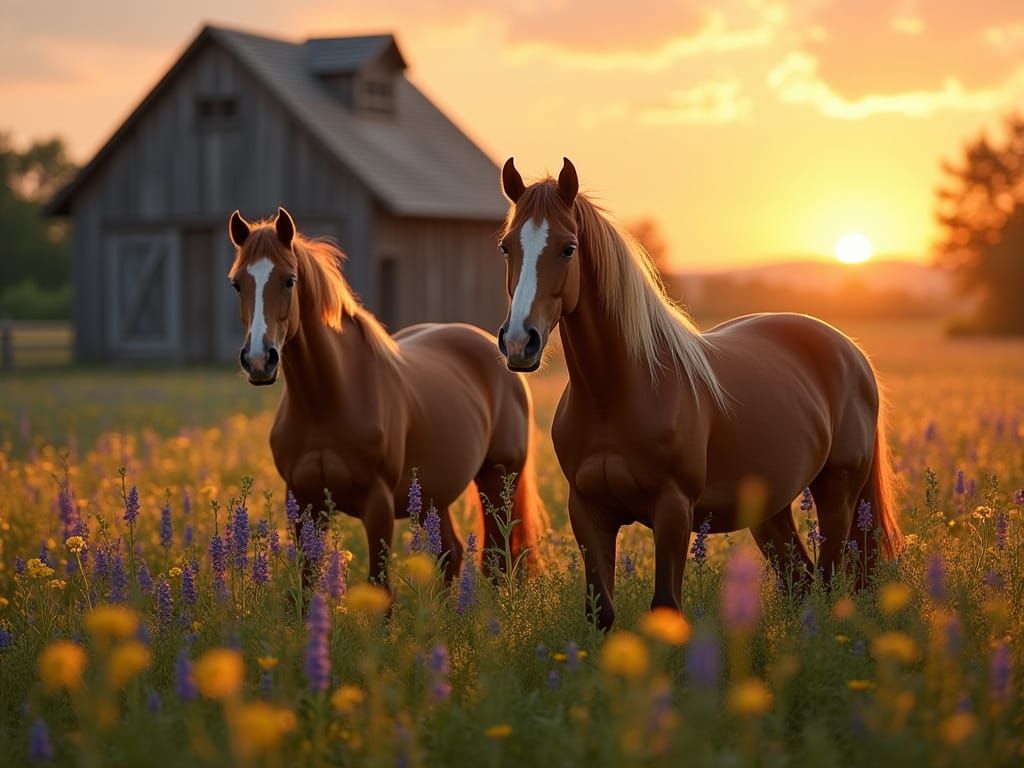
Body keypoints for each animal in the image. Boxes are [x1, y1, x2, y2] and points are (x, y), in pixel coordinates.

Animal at [226, 207, 543, 590]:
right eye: (237, 283)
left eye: (289, 280)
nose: (259, 360)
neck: (326, 400)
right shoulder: (302, 502)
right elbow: (305, 584)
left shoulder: (378, 504)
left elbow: (379, 585)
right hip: (432, 497)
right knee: (451, 554)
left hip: (498, 480)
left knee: (497, 561)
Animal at [495, 158, 903, 630]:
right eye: (506, 247)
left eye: (568, 247)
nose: (520, 342)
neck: (614, 394)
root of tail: (851, 353)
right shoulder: (588, 513)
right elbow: (602, 613)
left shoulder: (673, 510)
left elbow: (666, 607)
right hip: (770, 510)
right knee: (800, 581)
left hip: (838, 494)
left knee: (831, 580)